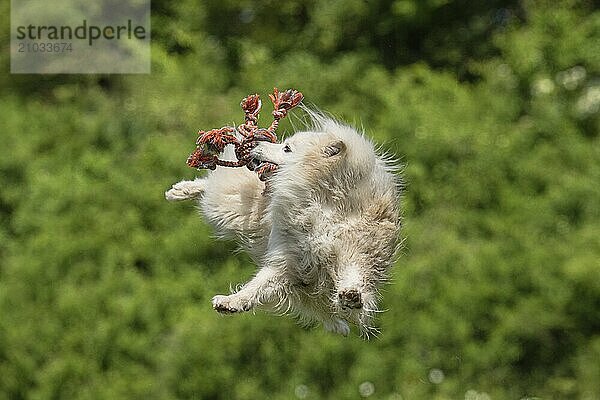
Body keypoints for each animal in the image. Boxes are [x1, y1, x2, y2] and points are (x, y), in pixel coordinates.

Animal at [165, 111, 404, 336]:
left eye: (286, 148)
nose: (256, 144)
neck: (321, 199)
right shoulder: (289, 259)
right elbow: (257, 285)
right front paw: (232, 301)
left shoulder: (357, 250)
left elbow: (353, 275)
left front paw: (352, 296)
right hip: (231, 209)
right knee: (213, 186)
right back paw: (181, 190)